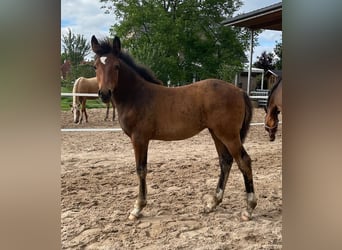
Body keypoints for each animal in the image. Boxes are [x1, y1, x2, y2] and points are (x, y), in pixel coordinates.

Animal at [91, 35, 256, 221]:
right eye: (95, 66)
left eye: (116, 66)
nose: (104, 94)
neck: (136, 96)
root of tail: (239, 91)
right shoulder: (142, 139)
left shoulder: (139, 138)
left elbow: (141, 169)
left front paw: (137, 208)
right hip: (217, 134)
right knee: (225, 162)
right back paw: (213, 203)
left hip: (229, 135)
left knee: (244, 161)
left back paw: (249, 208)